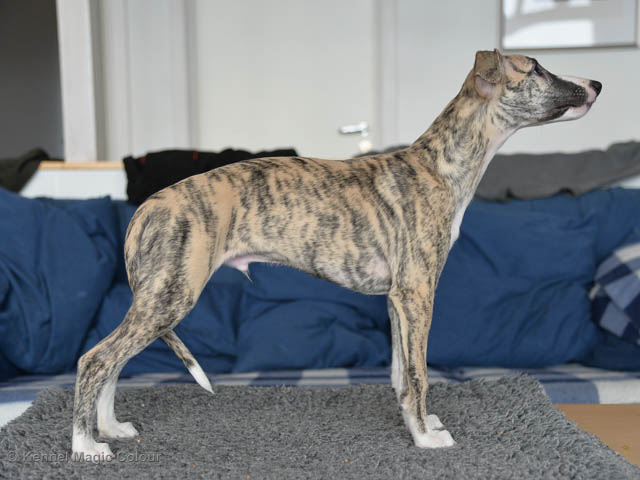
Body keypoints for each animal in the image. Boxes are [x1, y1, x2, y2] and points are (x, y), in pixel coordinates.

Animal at [71, 49, 601, 461]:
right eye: (536, 67)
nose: (597, 83)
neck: (440, 165)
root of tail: (146, 208)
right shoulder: (417, 293)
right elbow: (420, 374)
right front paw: (427, 440)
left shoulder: (396, 298)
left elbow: (401, 376)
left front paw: (418, 426)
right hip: (171, 295)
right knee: (95, 359)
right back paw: (85, 445)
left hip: (157, 298)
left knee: (113, 361)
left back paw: (111, 428)